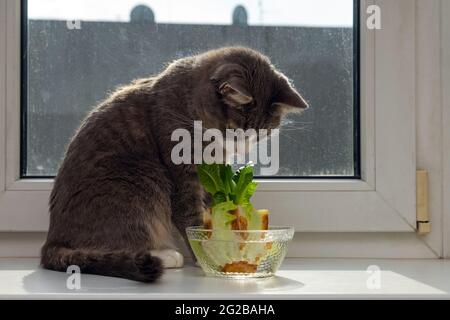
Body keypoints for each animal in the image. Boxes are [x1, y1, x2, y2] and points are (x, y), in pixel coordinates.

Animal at [40, 46, 308, 282]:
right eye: (234, 128)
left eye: (263, 134)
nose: (243, 149)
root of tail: (52, 241)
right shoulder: (181, 169)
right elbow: (189, 214)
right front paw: (208, 254)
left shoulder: (211, 173)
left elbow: (212, 208)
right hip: (140, 182)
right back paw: (166, 255)